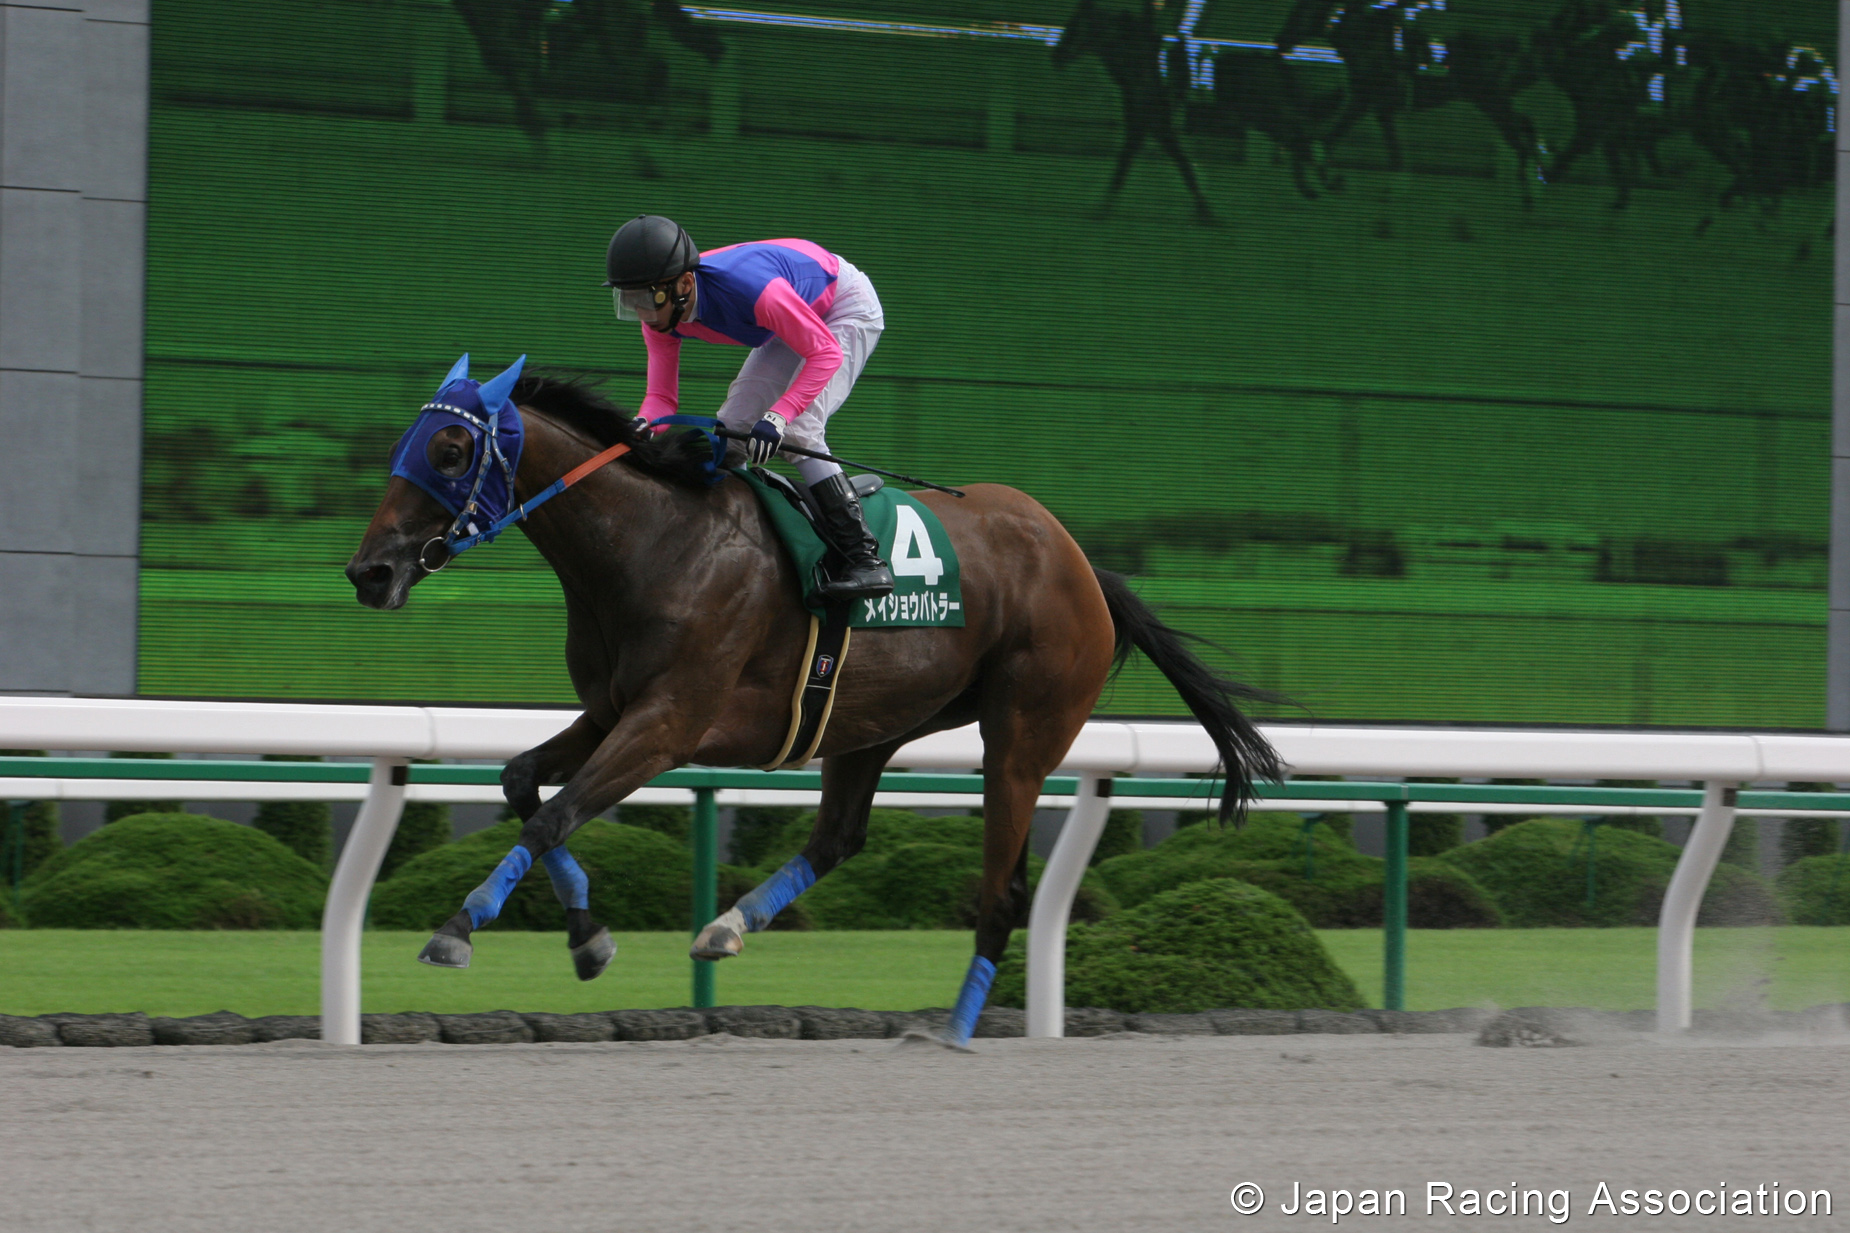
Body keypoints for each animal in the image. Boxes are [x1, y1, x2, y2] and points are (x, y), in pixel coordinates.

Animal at [346, 357, 1282, 1047]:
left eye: (451, 449)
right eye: (408, 441)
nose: (369, 571)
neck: (652, 541)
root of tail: (1083, 565)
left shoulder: (670, 722)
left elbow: (552, 813)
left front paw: (460, 926)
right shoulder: (612, 711)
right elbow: (521, 785)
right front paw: (588, 936)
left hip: (1022, 733)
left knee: (1003, 889)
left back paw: (956, 1028)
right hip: (870, 722)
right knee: (841, 836)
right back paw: (727, 926)